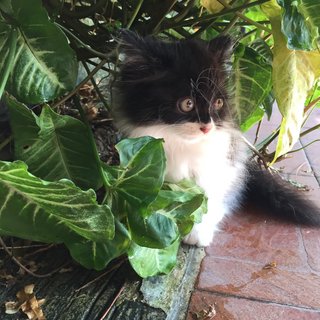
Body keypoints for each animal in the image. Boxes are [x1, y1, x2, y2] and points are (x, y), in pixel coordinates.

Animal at [112, 31, 320, 246]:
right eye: (187, 104)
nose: (207, 127)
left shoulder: (221, 163)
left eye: (218, 103)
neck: (183, 144)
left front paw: (198, 231)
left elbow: (208, 195)